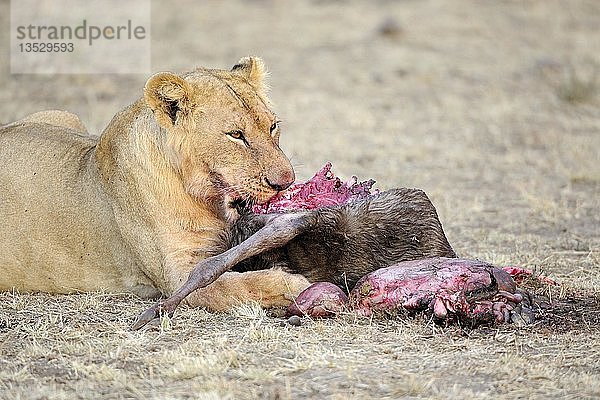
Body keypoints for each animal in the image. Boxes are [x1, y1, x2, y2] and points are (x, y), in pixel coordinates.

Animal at [0, 57, 316, 310]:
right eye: (236, 135)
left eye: (272, 127)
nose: (286, 181)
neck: (208, 201)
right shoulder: (176, 275)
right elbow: (235, 285)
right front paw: (299, 286)